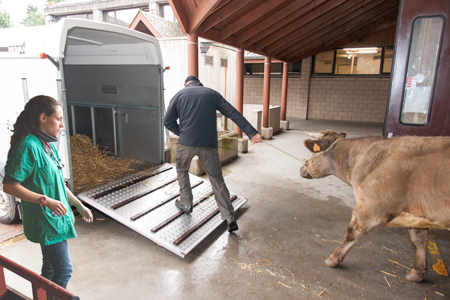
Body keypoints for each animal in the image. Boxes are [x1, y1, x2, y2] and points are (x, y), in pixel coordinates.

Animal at [298, 130, 450, 282]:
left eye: (312, 153)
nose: (301, 169)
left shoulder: (371, 208)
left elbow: (353, 234)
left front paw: (333, 259)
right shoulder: (416, 216)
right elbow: (418, 241)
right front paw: (417, 273)